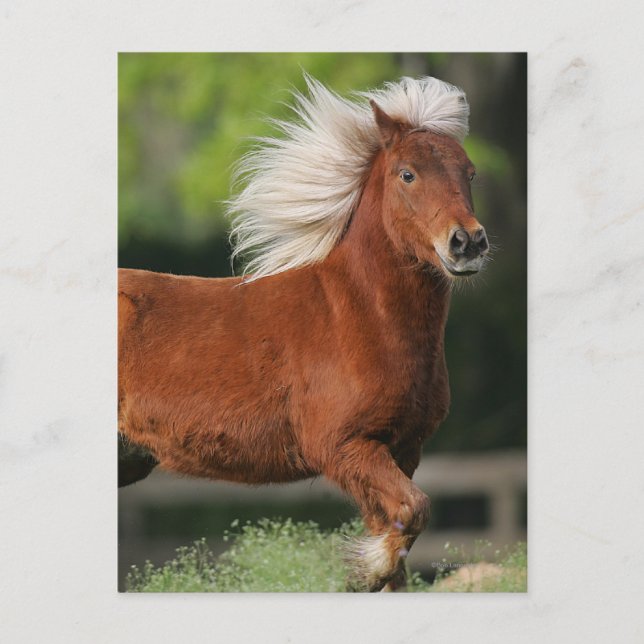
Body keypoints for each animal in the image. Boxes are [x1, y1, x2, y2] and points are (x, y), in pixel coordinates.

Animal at [118, 75, 489, 591]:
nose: (468, 242)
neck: (356, 317)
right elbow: (414, 511)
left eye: (469, 173)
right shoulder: (344, 447)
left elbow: (400, 538)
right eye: (407, 175)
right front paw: (360, 569)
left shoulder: (402, 450)